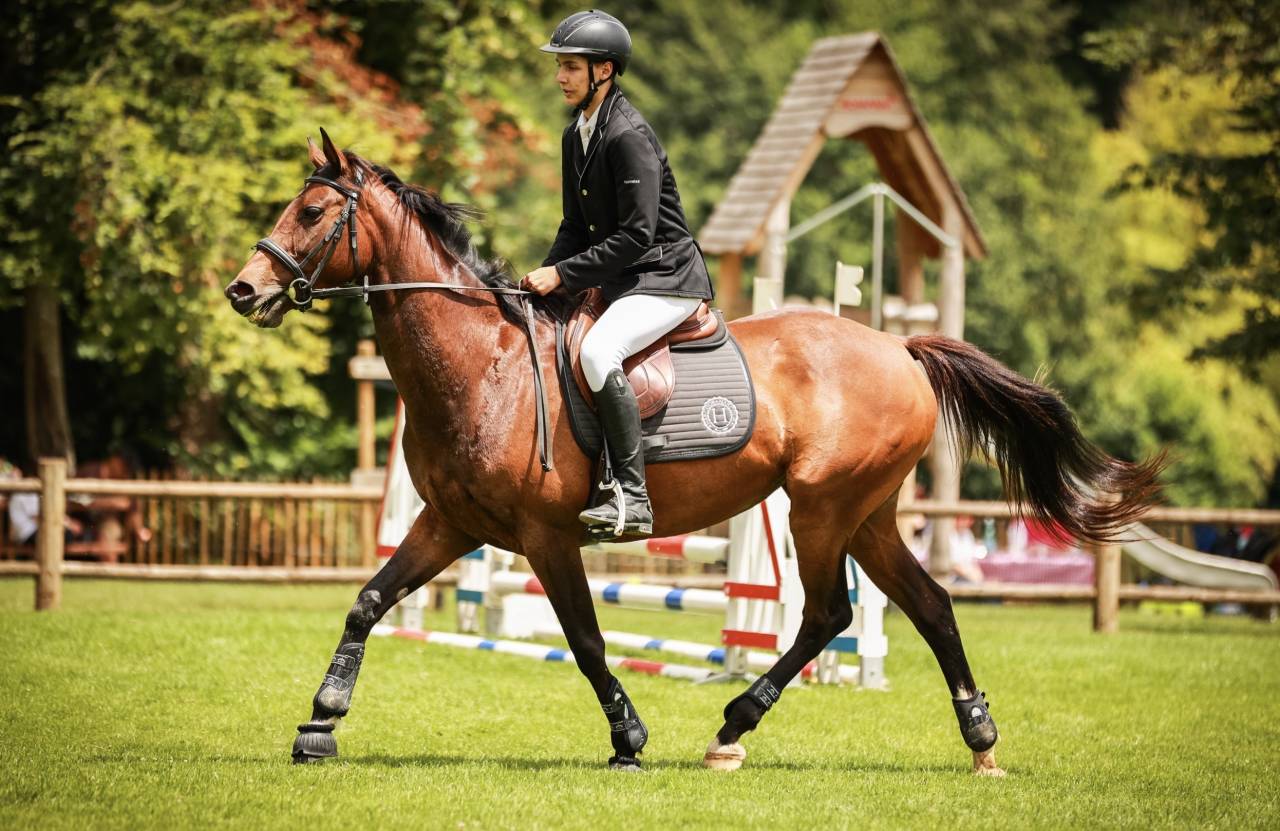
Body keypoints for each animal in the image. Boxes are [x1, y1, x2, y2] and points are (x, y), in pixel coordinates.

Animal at [225, 131, 1163, 775]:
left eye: (313, 213)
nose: (244, 289)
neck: (480, 364)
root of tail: (899, 348)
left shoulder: (546, 536)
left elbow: (586, 639)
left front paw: (629, 737)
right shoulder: (452, 524)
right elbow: (368, 600)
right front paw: (320, 721)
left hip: (820, 508)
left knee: (828, 613)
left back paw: (734, 726)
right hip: (867, 514)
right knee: (929, 606)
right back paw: (980, 741)